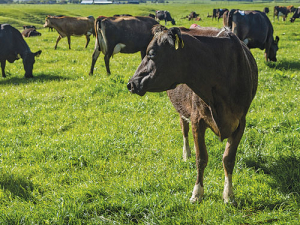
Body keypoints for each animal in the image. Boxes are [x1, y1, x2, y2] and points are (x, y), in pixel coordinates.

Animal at [126, 24, 258, 204]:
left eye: (151, 53)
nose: (131, 83)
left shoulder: (240, 122)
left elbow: (228, 159)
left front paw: (228, 194)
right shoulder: (197, 120)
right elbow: (201, 158)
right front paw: (197, 193)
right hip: (182, 110)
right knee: (184, 130)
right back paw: (186, 153)